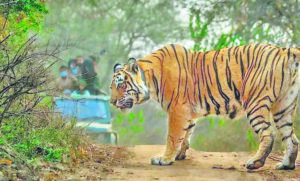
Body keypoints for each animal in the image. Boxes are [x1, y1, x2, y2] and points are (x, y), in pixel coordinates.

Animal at [109, 43, 300, 170]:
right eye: (112, 87)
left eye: (121, 85)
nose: (112, 102)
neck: (149, 78)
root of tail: (284, 50)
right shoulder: (188, 113)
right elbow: (185, 135)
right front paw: (179, 155)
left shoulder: (178, 109)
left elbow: (173, 137)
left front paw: (165, 159)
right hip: (284, 107)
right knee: (292, 139)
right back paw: (286, 165)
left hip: (255, 102)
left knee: (269, 134)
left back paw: (255, 162)